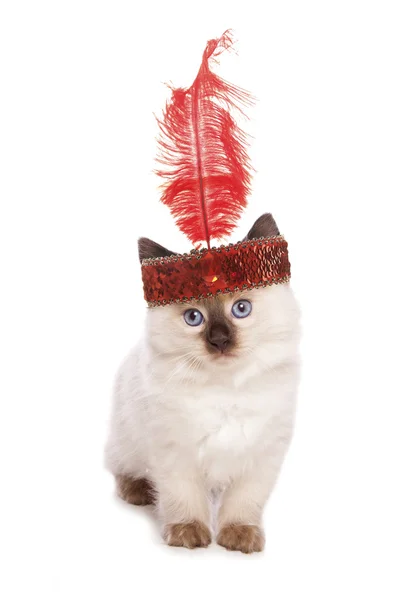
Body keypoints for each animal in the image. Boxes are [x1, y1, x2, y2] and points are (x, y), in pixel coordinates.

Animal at [105, 213, 300, 556]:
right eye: (193, 318)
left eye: (241, 309)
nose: (219, 341)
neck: (225, 390)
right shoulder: (174, 453)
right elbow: (183, 498)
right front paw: (188, 534)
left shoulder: (261, 455)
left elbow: (243, 503)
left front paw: (239, 536)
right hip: (126, 443)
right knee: (123, 469)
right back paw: (138, 491)